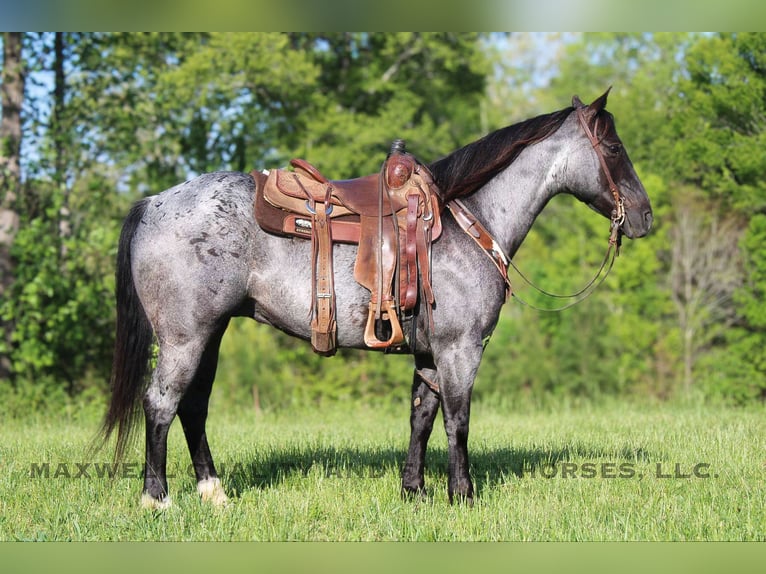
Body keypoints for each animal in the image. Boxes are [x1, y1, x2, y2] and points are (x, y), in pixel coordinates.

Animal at [101, 90, 653, 508]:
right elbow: (458, 421)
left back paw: (213, 493)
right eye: (613, 147)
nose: (645, 216)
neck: (466, 221)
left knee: (192, 406)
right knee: (161, 402)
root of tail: (153, 202)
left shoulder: (430, 353)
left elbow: (421, 417)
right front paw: (463, 495)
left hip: (211, 334)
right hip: (184, 337)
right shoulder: (460, 349)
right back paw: (156, 499)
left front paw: (415, 491)